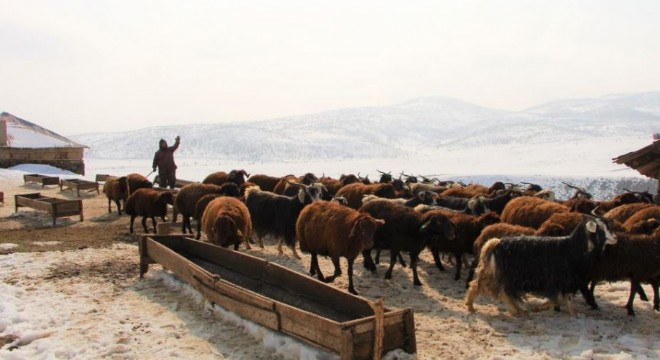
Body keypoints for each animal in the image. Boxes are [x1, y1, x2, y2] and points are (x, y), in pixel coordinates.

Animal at [464, 215, 620, 316]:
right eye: (600, 228)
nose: (615, 238)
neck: (572, 248)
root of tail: (497, 242)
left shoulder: (568, 282)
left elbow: (565, 298)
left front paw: (573, 313)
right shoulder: (558, 281)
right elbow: (558, 298)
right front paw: (540, 308)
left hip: (495, 273)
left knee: (479, 285)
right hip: (506, 276)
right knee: (501, 292)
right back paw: (514, 311)